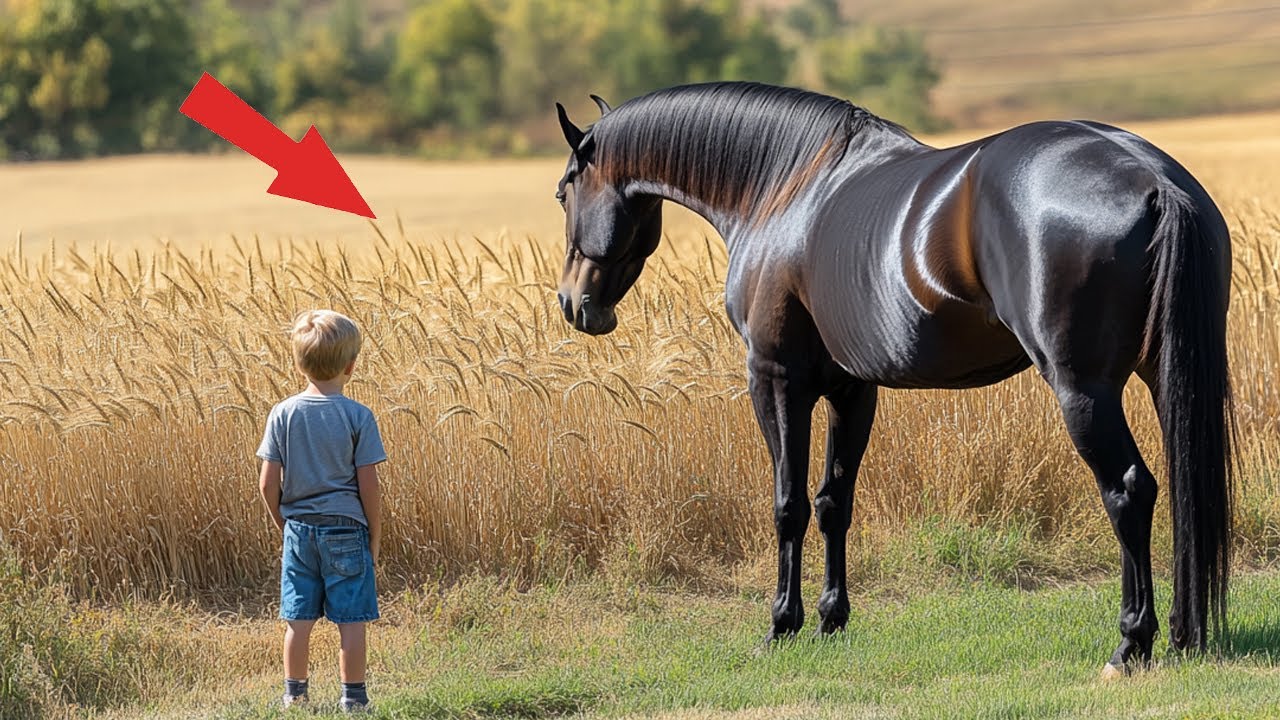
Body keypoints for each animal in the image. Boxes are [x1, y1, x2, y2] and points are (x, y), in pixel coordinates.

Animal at [551, 82, 1234, 676]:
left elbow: (788, 505)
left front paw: (781, 625)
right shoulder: (852, 389)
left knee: (1128, 491)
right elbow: (833, 502)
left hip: (1083, 391)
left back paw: (1131, 642)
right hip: (1165, 376)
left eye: (564, 191)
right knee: (1179, 483)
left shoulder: (775, 380)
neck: (784, 188)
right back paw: (1183, 631)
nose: (574, 304)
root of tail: (1151, 179)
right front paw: (831, 620)